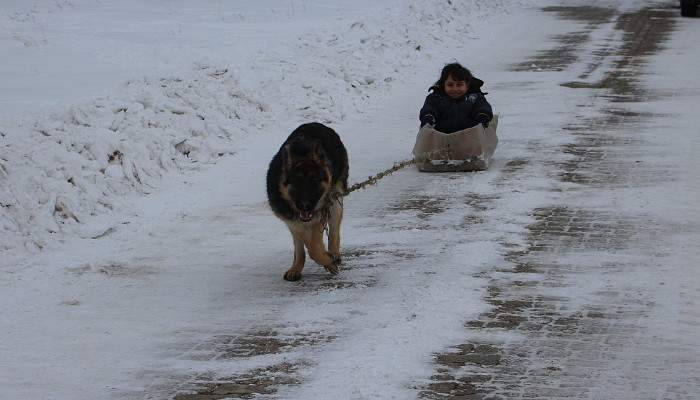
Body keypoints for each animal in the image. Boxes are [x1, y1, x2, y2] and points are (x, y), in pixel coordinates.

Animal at [266, 122, 348, 282]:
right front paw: (298, 266)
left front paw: (328, 260)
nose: (305, 205)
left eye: (314, 181)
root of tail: (317, 123)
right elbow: (303, 242)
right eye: (297, 182)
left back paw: (334, 253)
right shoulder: (291, 220)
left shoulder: (320, 211)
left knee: (334, 230)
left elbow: (314, 245)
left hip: (335, 198)